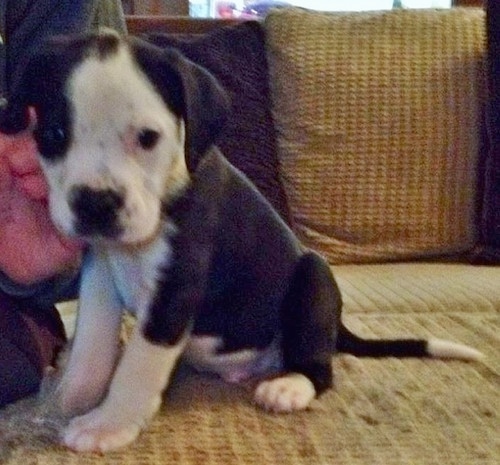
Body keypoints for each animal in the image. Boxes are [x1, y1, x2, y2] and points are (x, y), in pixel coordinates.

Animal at [0, 30, 484, 452]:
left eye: (147, 138)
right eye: (54, 135)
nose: (96, 203)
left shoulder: (175, 289)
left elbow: (137, 363)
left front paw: (109, 424)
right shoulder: (101, 271)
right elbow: (92, 347)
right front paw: (68, 399)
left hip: (313, 278)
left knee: (320, 368)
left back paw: (290, 386)